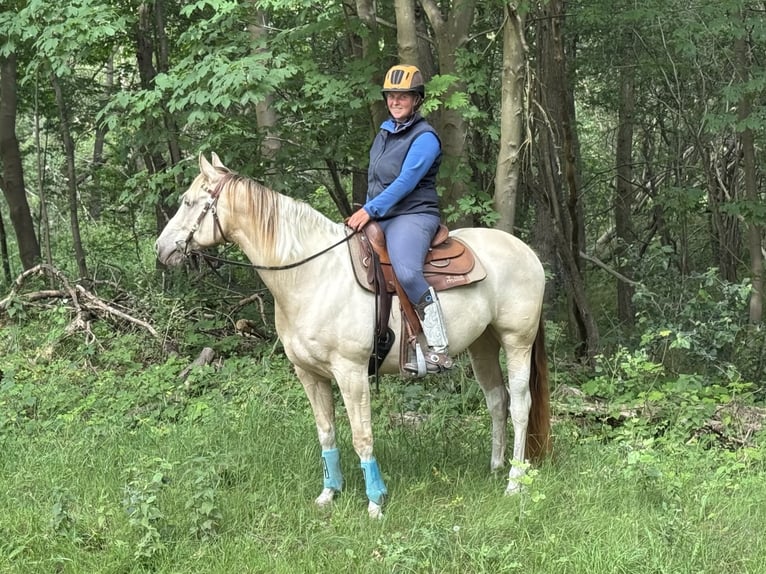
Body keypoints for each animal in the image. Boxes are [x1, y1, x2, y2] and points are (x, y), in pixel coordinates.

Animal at [155, 153, 552, 518]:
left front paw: (375, 501)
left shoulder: (351, 372)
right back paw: (496, 467)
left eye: (189, 202)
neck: (313, 274)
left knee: (519, 404)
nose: (161, 249)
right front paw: (329, 494)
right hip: (483, 344)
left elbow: (362, 437)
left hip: (516, 340)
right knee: (496, 399)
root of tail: (527, 252)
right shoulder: (309, 374)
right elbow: (326, 432)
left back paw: (515, 482)